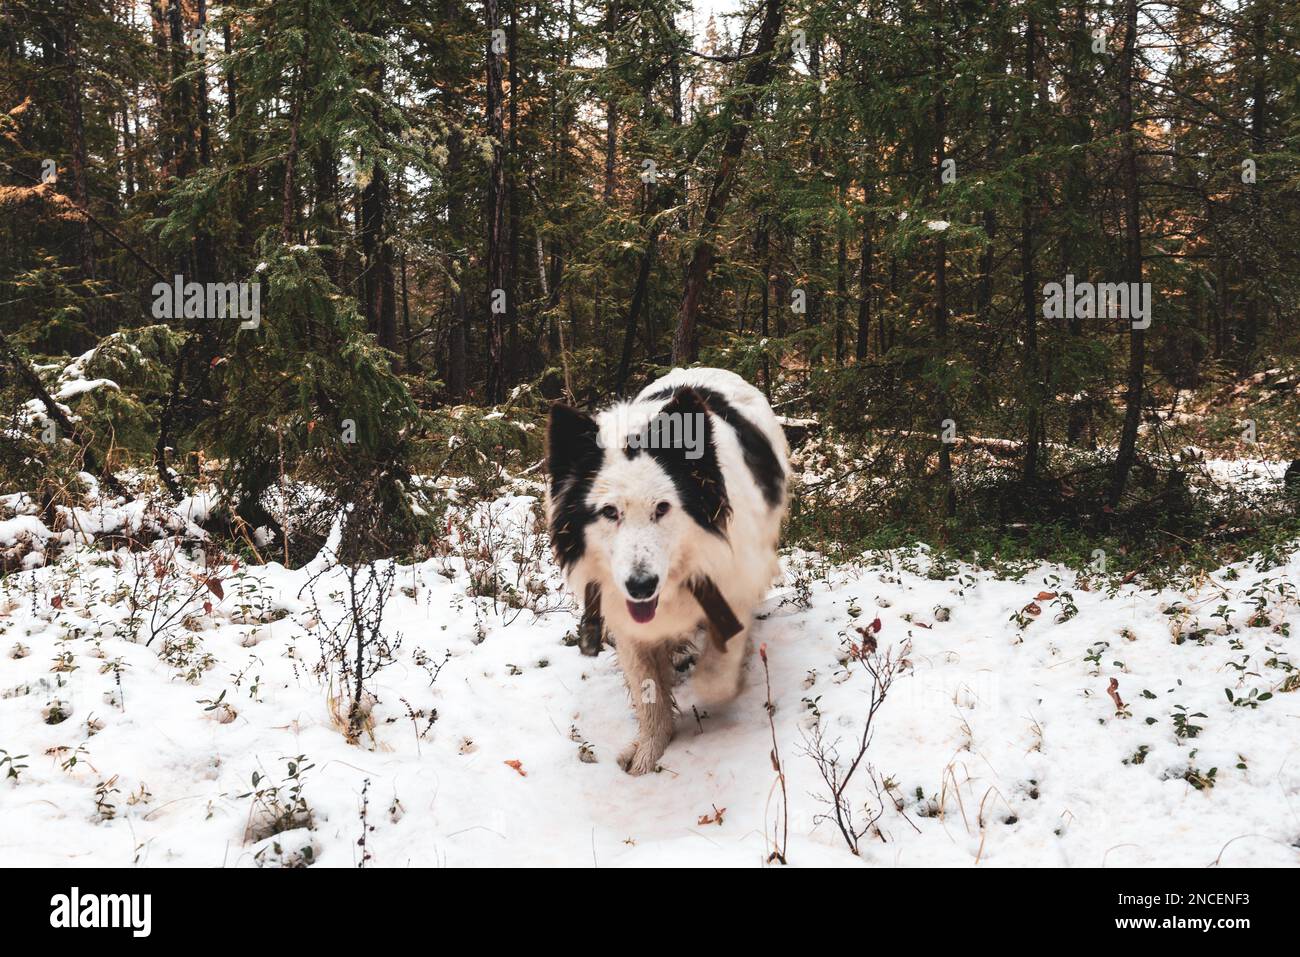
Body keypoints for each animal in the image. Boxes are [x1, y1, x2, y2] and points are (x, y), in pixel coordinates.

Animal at [543, 369, 785, 774]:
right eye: (609, 512)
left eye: (662, 508)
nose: (641, 586)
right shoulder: (624, 617)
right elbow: (647, 689)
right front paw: (649, 750)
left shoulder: (733, 581)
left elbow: (716, 674)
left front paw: (717, 680)